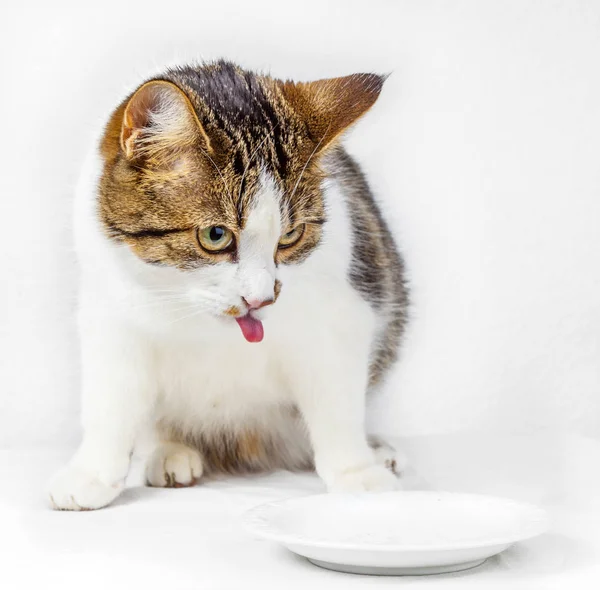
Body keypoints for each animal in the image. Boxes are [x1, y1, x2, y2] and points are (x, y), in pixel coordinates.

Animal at [47, 62, 408, 512]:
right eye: (215, 235)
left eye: (290, 236)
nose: (261, 298)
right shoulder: (110, 308)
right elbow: (109, 398)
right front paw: (91, 472)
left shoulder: (341, 311)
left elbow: (337, 397)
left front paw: (357, 472)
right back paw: (170, 451)